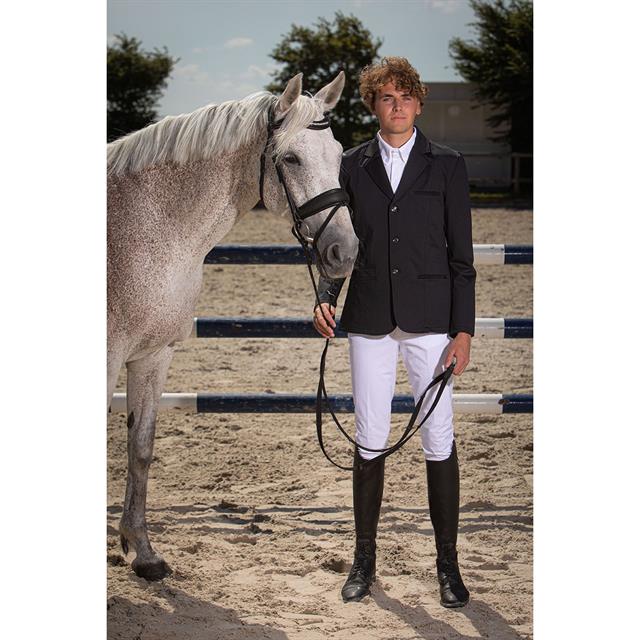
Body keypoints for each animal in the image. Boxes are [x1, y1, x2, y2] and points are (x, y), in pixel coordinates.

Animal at [107, 72, 358, 580]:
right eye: (290, 158)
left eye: (339, 153)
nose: (346, 251)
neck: (143, 228)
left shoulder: (152, 355)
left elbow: (140, 447)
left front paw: (143, 552)